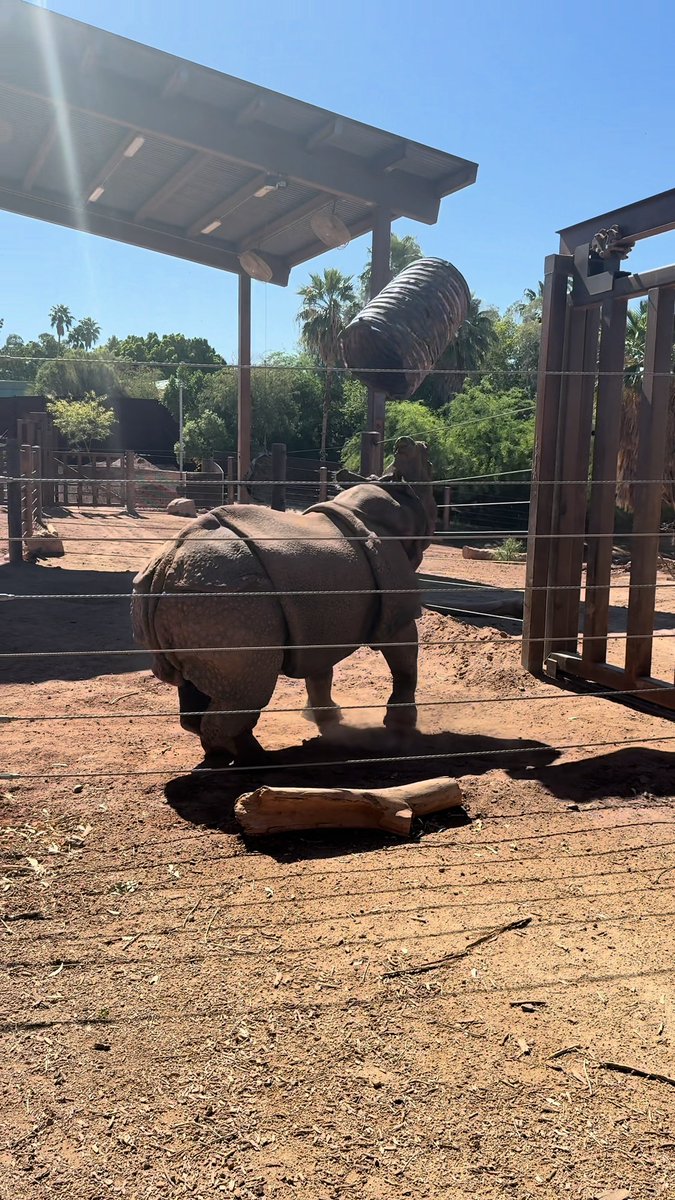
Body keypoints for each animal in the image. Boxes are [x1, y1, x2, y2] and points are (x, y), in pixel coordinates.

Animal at [131, 437, 436, 764]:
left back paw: (225, 755)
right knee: (248, 690)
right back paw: (256, 759)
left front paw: (328, 719)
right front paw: (401, 728)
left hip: (182, 597)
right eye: (430, 465)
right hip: (225, 600)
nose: (421, 445)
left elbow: (320, 674)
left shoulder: (318, 624)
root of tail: (165, 563)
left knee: (197, 691)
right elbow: (405, 666)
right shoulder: (397, 615)